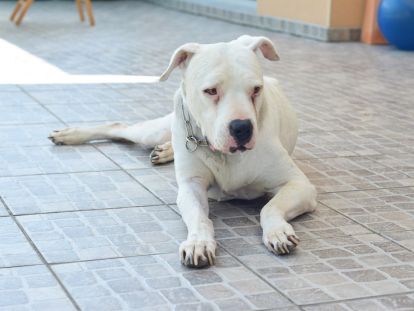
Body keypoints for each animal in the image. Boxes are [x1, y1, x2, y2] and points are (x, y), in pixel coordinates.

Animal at [51, 36, 316, 268]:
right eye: (211, 91)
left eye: (256, 89)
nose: (242, 128)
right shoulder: (191, 186)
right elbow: (199, 217)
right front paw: (198, 242)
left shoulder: (299, 185)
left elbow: (269, 207)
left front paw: (278, 231)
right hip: (154, 131)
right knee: (119, 128)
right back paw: (71, 134)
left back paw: (165, 150)